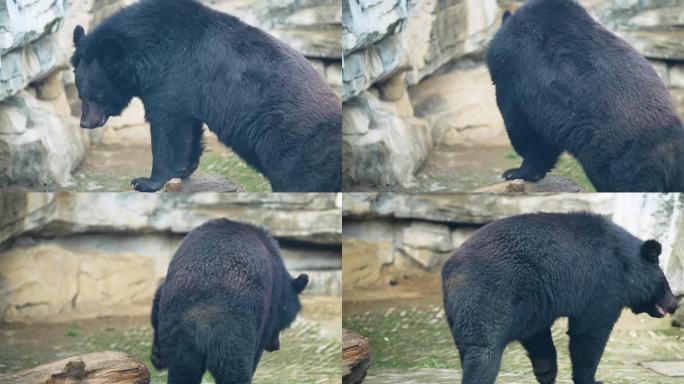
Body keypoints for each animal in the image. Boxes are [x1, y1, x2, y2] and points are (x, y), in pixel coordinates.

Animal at [71, 0, 340, 192]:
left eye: (98, 95)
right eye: (80, 93)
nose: (85, 123)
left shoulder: (173, 74)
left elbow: (168, 126)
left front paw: (145, 181)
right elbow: (188, 129)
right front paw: (183, 171)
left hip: (293, 144)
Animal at [152, 219, 310, 384]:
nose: (276, 346)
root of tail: (201, 320)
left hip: (180, 341)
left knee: (182, 373)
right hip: (234, 337)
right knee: (235, 373)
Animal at [444, 213, 680, 384]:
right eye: (665, 283)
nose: (675, 305)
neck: (624, 263)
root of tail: (450, 268)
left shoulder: (535, 302)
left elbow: (537, 334)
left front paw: (546, 370)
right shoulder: (602, 285)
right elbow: (589, 333)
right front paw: (591, 379)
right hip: (490, 292)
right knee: (483, 349)